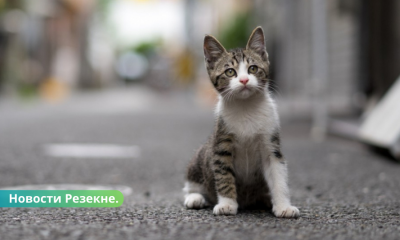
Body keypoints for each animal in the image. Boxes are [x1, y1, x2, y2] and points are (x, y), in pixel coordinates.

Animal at [183, 26, 298, 218]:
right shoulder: (221, 145)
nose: (244, 80)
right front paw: (227, 204)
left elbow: (278, 175)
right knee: (192, 183)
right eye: (230, 72)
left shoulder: (271, 144)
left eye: (253, 68)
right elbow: (223, 175)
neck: (246, 107)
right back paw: (195, 197)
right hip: (201, 155)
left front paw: (283, 206)